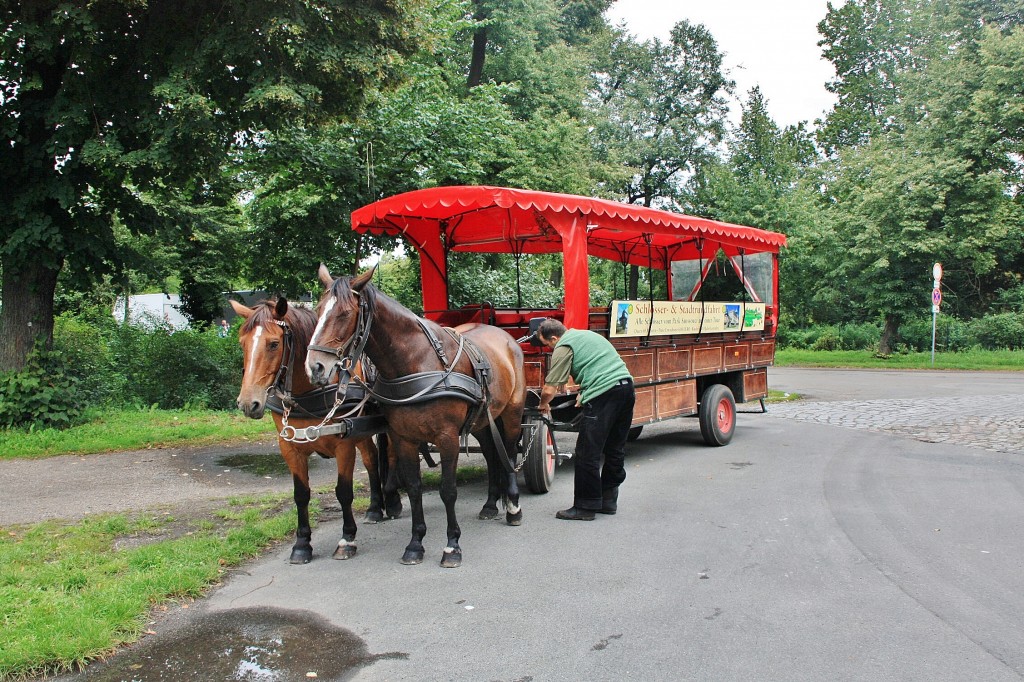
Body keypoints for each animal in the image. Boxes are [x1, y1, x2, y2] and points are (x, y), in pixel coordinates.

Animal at [232, 294, 399, 561]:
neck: (309, 391)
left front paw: (347, 538)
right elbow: (301, 494)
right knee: (372, 459)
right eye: (242, 343)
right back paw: (374, 508)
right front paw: (301, 543)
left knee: (391, 455)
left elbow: (344, 491)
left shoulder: (343, 443)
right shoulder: (290, 446)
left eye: (273, 344)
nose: (248, 403)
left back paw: (392, 502)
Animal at [303, 266, 528, 569]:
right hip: (482, 419)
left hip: (513, 412)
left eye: (344, 314)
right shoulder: (403, 438)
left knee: (510, 454)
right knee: (493, 454)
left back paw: (513, 507)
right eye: (318, 309)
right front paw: (415, 544)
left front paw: (452, 545)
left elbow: (448, 490)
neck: (416, 362)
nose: (314, 367)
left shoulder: (447, 438)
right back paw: (491, 504)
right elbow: (413, 488)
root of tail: (506, 337)